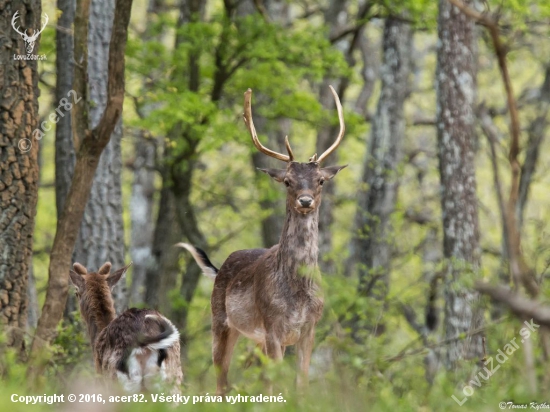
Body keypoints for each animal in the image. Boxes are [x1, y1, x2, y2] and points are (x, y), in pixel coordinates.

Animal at [179, 85, 348, 394]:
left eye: (320, 180)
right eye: (288, 181)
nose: (305, 201)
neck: (297, 292)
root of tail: (219, 268)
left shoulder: (309, 327)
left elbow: (300, 385)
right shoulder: (272, 325)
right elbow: (278, 386)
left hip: (254, 340)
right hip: (221, 322)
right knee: (222, 383)